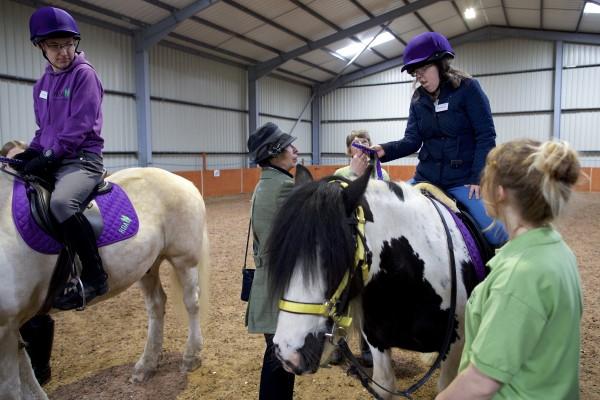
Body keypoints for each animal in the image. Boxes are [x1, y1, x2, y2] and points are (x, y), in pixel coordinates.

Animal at [0, 167, 211, 398]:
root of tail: (183, 180)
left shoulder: (5, 329)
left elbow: (10, 388)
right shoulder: (12, 326)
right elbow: (26, 379)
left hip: (183, 260)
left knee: (191, 302)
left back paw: (191, 357)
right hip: (148, 266)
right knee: (156, 305)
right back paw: (146, 365)